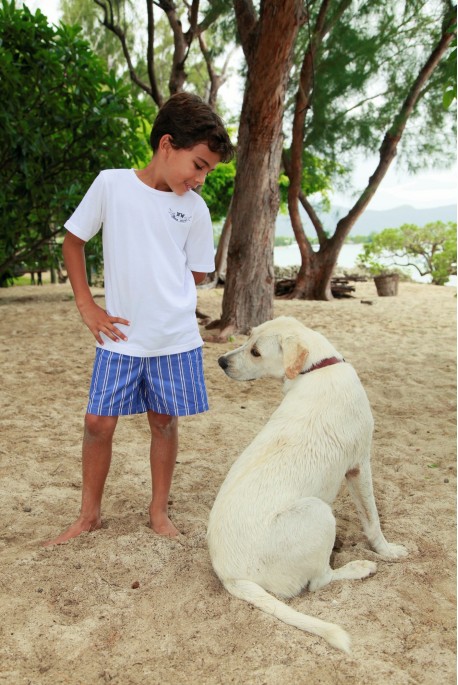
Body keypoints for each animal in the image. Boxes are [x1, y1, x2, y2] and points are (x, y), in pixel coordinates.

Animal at [206, 316, 406, 652]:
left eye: (254, 349)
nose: (220, 361)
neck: (318, 367)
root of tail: (231, 577)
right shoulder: (359, 465)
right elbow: (373, 521)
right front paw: (387, 551)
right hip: (318, 512)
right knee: (319, 581)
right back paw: (358, 568)